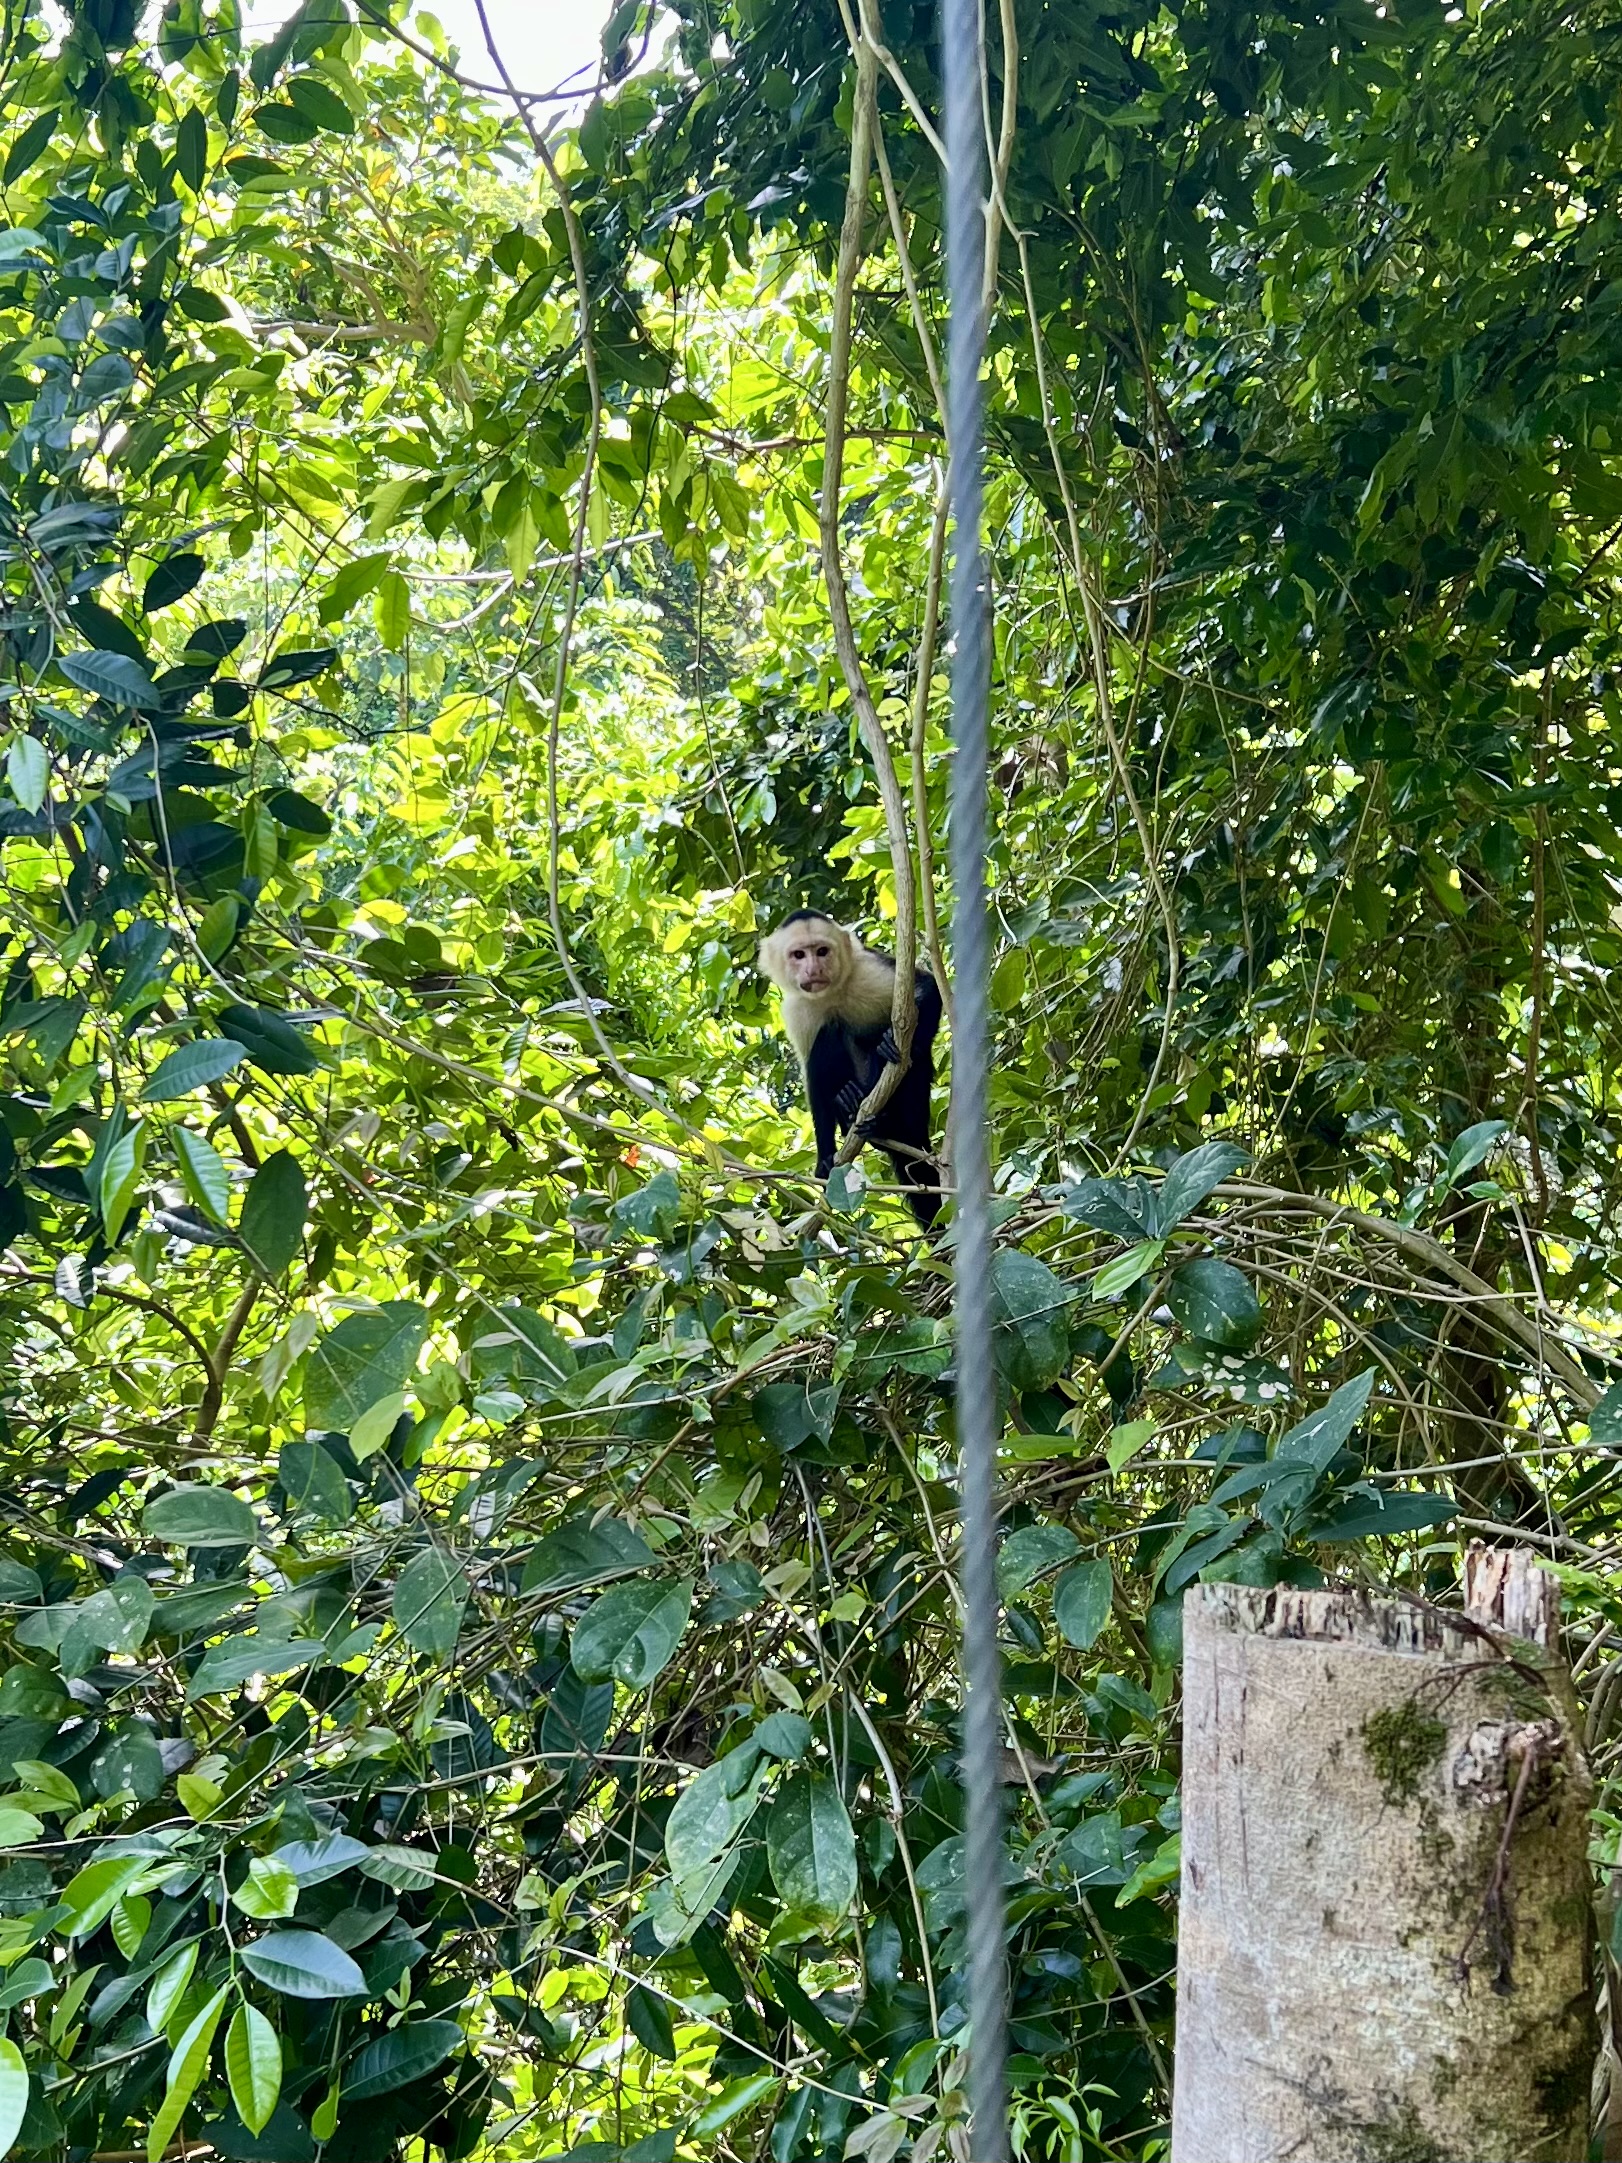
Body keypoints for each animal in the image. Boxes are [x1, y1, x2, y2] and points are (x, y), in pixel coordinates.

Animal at [765, 904, 947, 1228]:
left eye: (822, 951)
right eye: (799, 955)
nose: (814, 970)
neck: (830, 994)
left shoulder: (867, 970)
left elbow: (927, 987)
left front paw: (900, 1047)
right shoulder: (797, 1010)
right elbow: (812, 1080)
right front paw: (825, 1157)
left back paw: (886, 1118)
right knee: (828, 1034)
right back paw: (851, 1105)